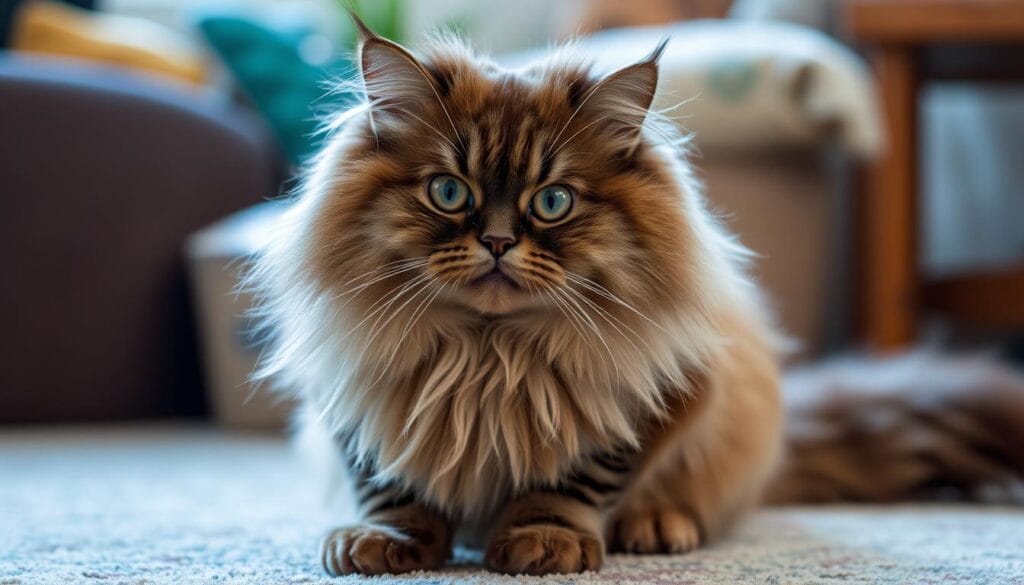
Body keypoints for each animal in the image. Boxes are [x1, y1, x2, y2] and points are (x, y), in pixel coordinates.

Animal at [247, 17, 1024, 577]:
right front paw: (391, 541)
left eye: (553, 201)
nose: (496, 241)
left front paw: (544, 538)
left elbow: (574, 483)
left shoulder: (650, 396)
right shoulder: (350, 392)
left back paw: (655, 524)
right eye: (448, 191)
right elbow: (389, 483)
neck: (489, 354)